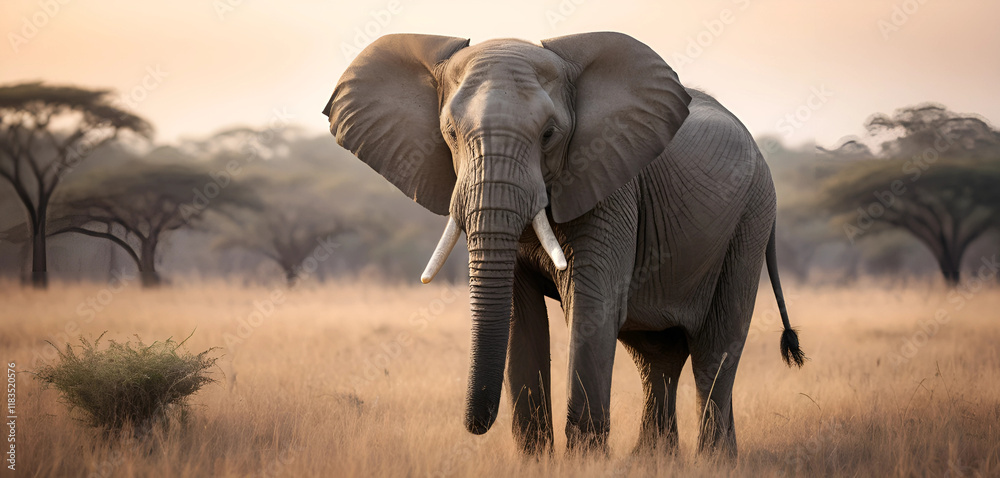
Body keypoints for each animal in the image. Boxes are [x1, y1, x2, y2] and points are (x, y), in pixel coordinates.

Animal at [323, 31, 805, 457]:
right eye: (452, 134)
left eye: (549, 134)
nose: (473, 425)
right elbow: (520, 316)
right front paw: (535, 460)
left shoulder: (611, 182)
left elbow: (591, 308)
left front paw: (585, 461)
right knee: (656, 357)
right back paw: (652, 461)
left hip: (750, 220)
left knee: (714, 350)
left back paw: (713, 461)